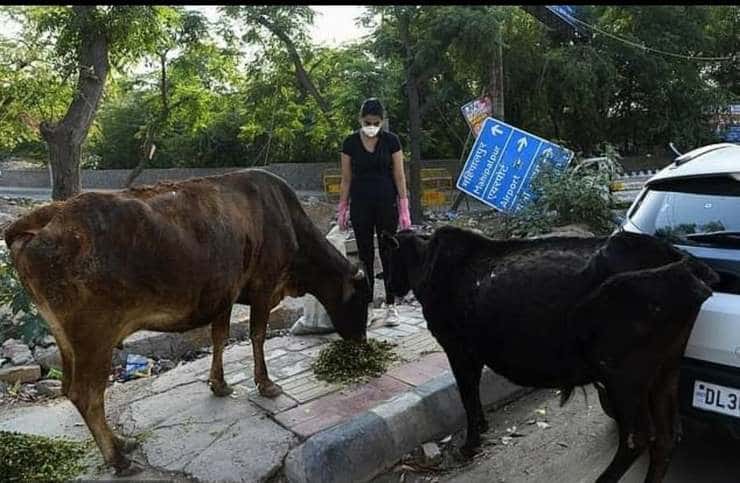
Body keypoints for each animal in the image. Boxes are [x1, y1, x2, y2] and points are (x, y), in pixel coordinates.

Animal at [2, 168, 368, 474]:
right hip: (94, 337)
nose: (362, 342)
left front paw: (219, 384)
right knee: (86, 395)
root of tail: (49, 214)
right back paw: (118, 458)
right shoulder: (264, 285)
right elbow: (257, 335)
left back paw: (122, 442)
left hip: (66, 340)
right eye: (363, 299)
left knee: (70, 389)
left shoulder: (225, 294)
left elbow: (220, 337)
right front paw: (266, 385)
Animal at [382, 228, 716, 483]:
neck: (428, 262)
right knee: (667, 437)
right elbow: (473, 397)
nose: (391, 289)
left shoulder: (458, 349)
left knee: (638, 437)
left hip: (623, 375)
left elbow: (467, 397)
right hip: (665, 371)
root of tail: (687, 265)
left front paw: (470, 445)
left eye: (387, 258)